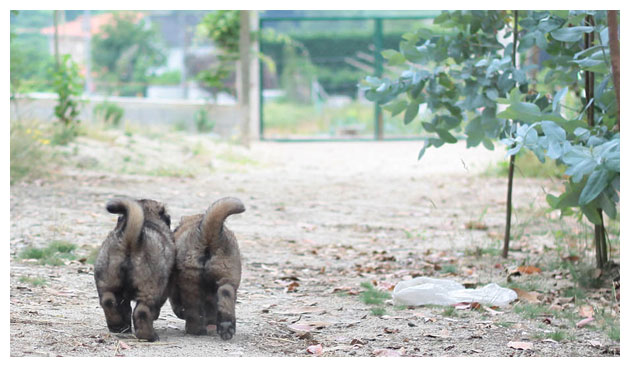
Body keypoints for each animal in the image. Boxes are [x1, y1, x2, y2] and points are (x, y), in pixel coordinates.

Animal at [92, 198, 175, 342]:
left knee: (109, 301)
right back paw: (149, 336)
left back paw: (118, 326)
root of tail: (131, 240)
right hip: (150, 287)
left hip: (107, 279)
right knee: (142, 311)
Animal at [169, 197, 246, 340]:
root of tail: (208, 234)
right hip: (227, 274)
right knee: (225, 293)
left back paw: (195, 330)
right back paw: (226, 327)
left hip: (191, 281)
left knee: (194, 309)